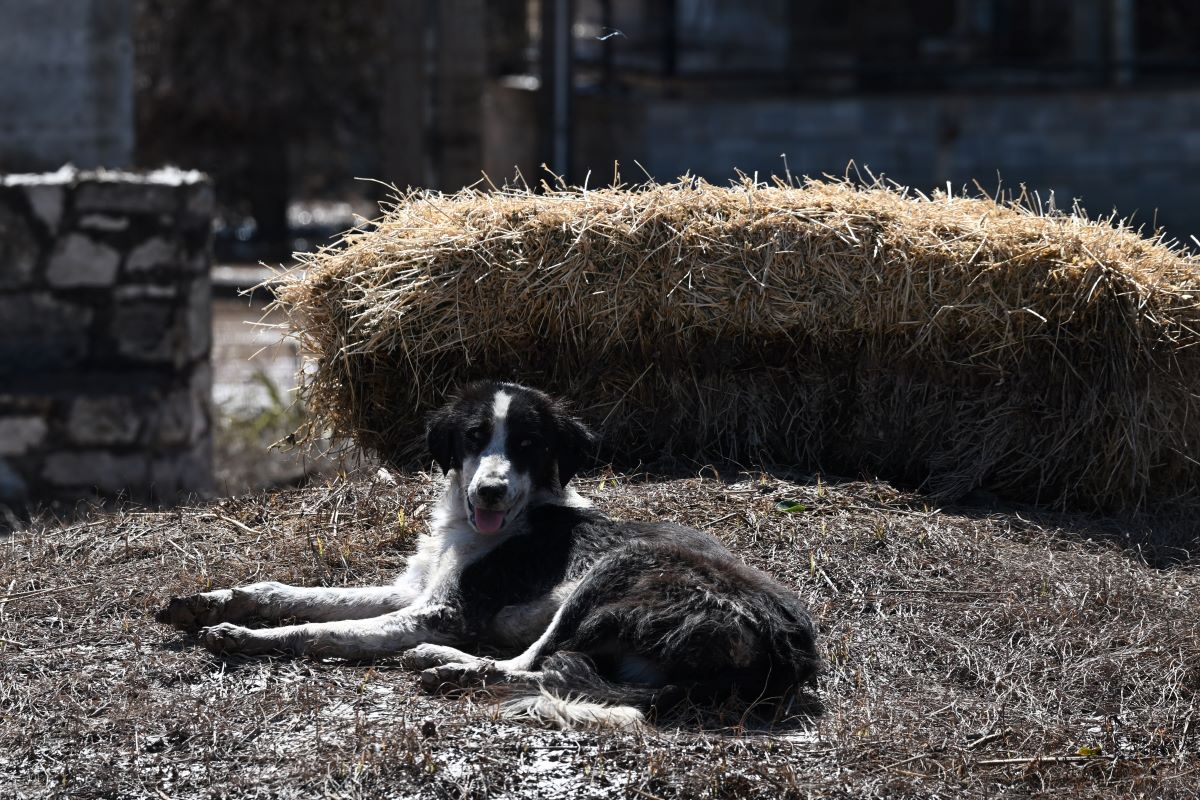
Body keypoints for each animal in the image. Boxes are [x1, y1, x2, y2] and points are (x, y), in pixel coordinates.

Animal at [157, 383, 816, 729]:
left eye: (527, 445)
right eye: (475, 438)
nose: (490, 490)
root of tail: (787, 649)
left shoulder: (442, 612)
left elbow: (322, 631)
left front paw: (241, 636)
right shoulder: (414, 590)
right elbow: (295, 595)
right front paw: (214, 600)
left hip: (614, 572)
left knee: (533, 664)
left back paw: (447, 665)